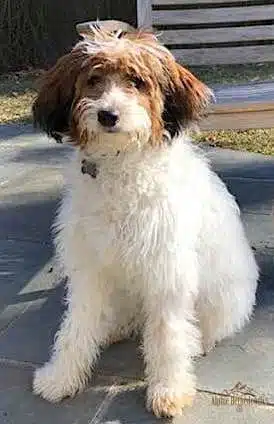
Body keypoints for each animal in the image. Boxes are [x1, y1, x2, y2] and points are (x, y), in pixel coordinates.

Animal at [32, 27, 260, 418]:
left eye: (137, 82)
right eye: (93, 80)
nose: (108, 115)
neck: (119, 165)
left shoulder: (166, 269)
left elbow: (168, 335)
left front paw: (169, 390)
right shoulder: (89, 266)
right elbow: (76, 325)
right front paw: (61, 377)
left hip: (222, 297)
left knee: (201, 327)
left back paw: (196, 342)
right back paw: (113, 328)